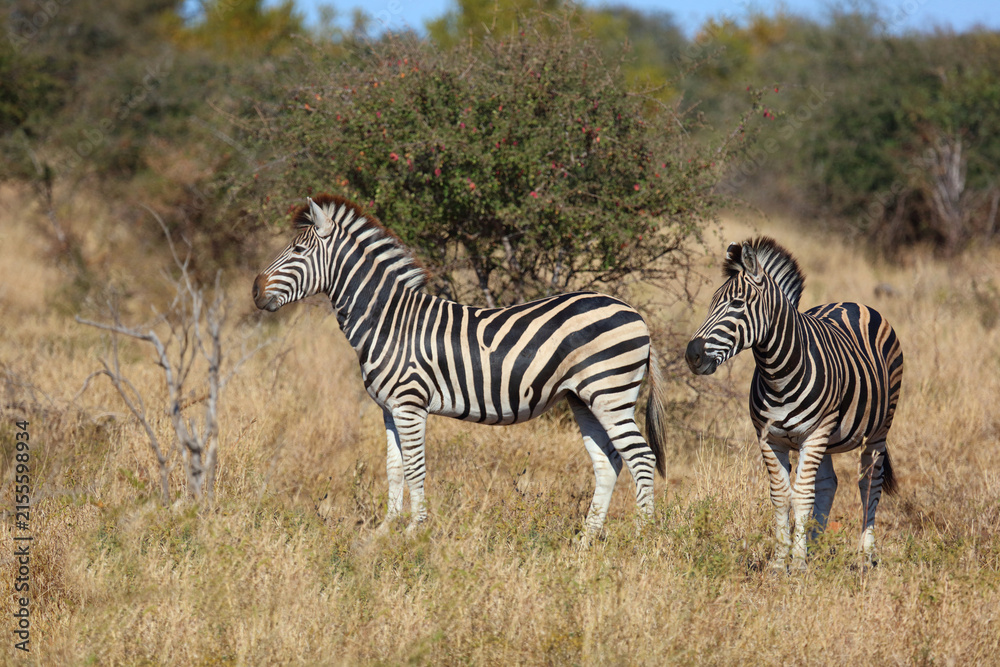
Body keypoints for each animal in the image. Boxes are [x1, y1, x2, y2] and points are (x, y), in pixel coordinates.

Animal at [253, 194, 669, 540]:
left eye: (298, 250)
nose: (255, 291)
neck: (388, 320)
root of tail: (636, 315)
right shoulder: (388, 408)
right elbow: (394, 468)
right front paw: (384, 532)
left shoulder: (410, 405)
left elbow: (416, 468)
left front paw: (413, 532)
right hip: (584, 399)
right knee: (608, 462)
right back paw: (585, 540)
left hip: (609, 393)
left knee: (641, 457)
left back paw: (640, 538)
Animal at [684, 237, 903, 571]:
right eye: (711, 303)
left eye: (737, 304)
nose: (692, 355)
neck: (778, 373)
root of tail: (853, 303)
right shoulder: (769, 438)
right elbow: (781, 495)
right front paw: (779, 561)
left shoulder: (814, 434)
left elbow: (801, 496)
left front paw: (797, 565)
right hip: (826, 438)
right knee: (827, 484)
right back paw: (815, 545)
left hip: (876, 432)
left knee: (869, 484)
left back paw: (865, 555)